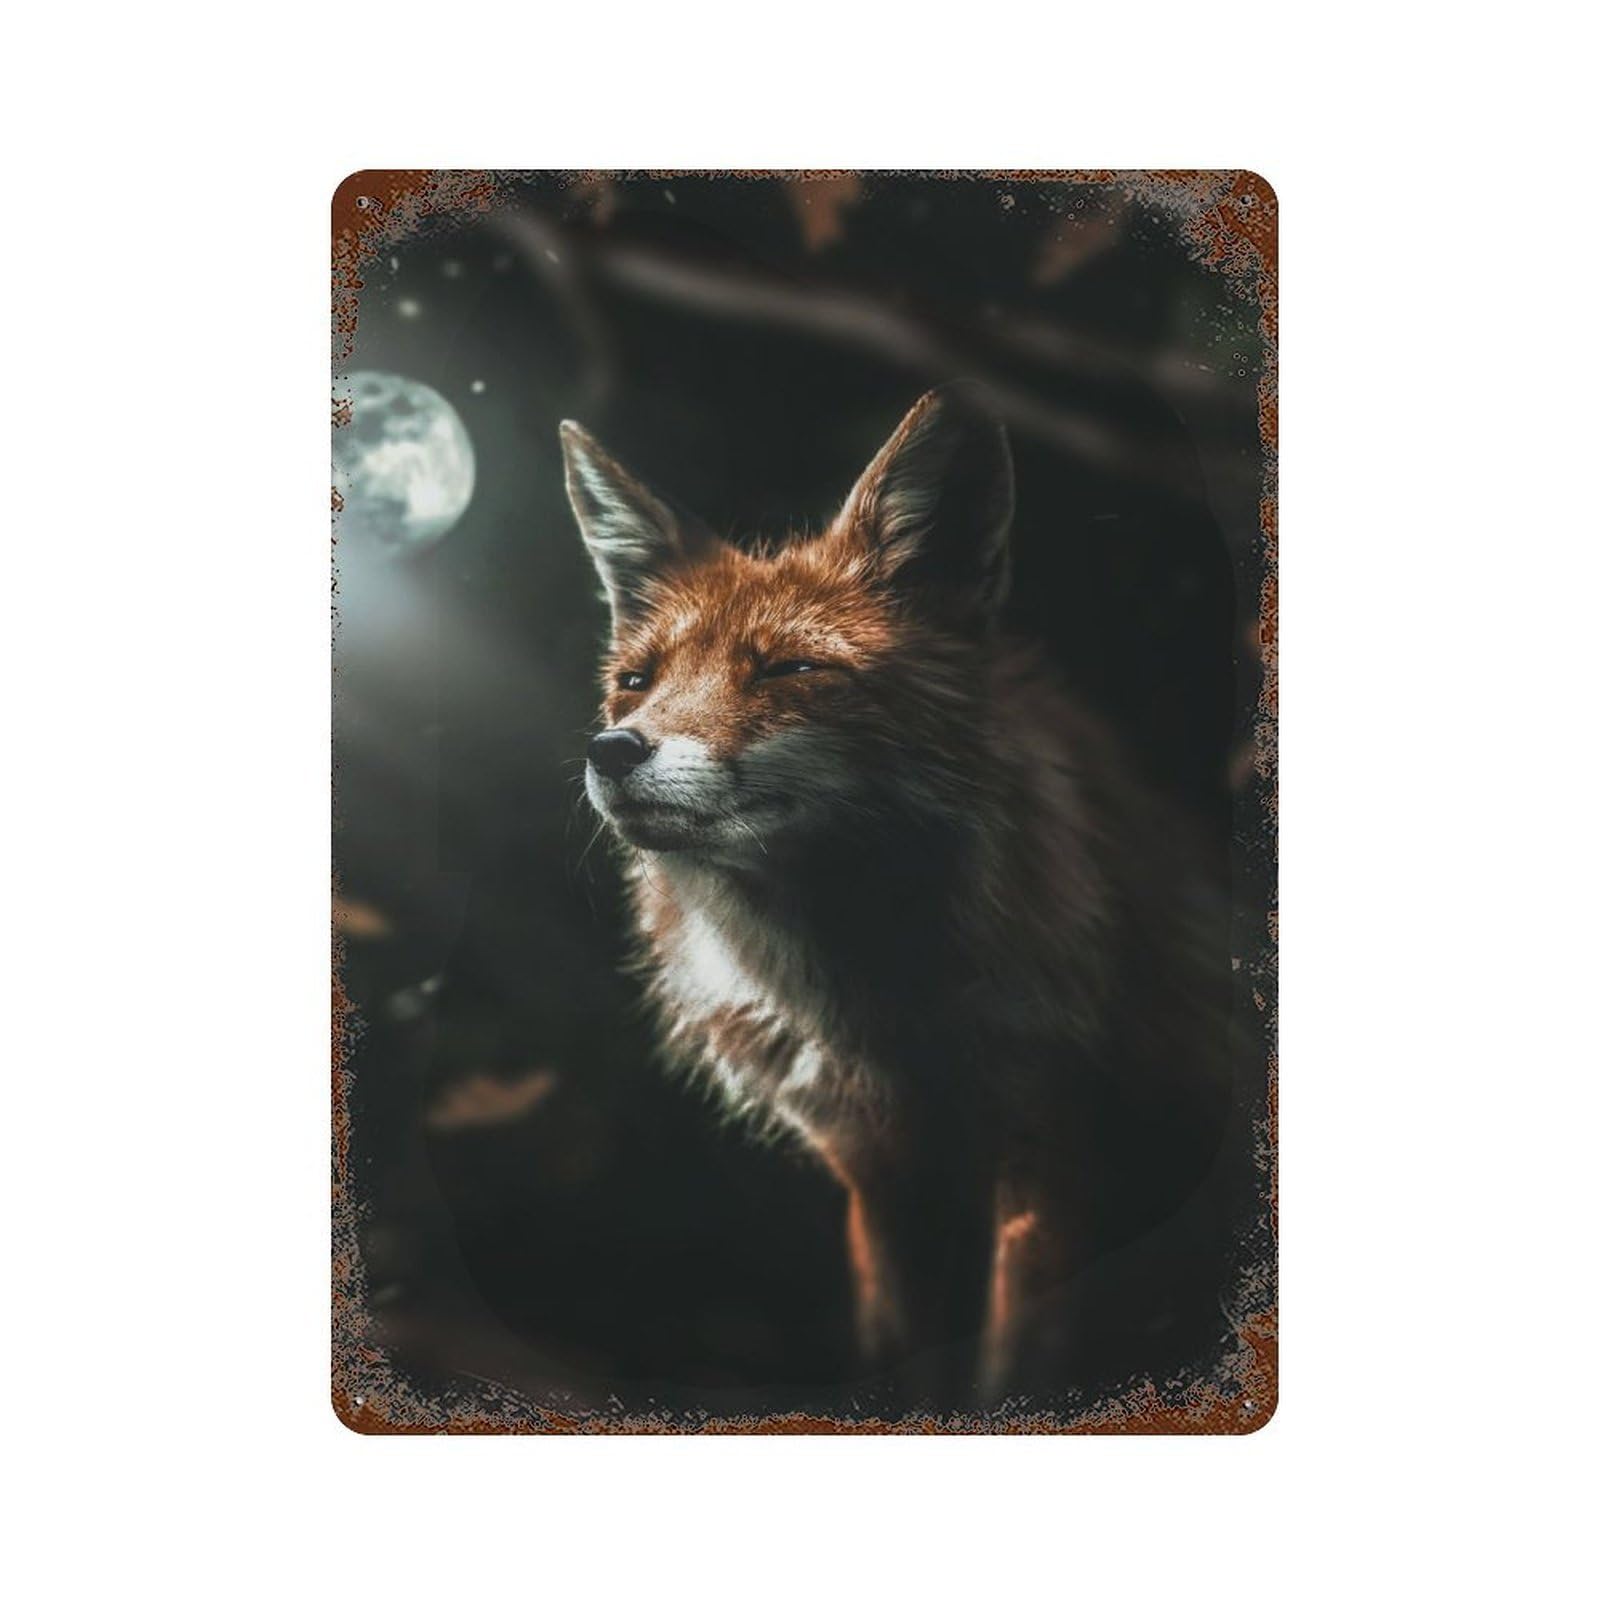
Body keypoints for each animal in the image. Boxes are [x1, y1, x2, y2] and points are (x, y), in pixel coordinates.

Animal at [561, 385, 1233, 1407]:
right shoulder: (873, 1174)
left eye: (790, 670)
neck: (876, 1010)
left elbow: (1017, 1363)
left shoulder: (1046, 1143)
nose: (614, 750)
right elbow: (895, 1358)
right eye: (635, 682)